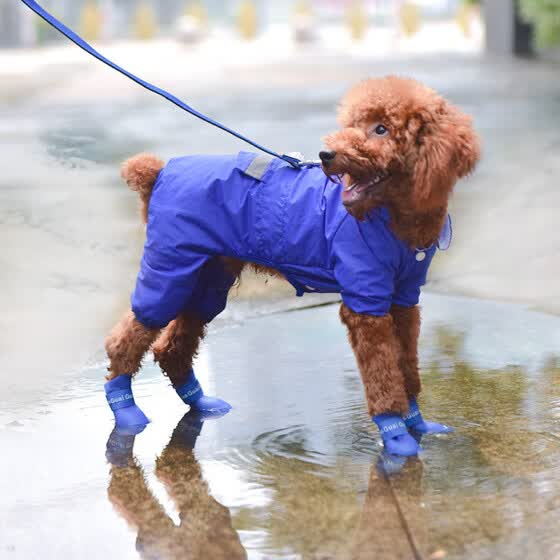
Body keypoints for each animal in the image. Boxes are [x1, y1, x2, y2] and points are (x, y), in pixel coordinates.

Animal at [103, 75, 480, 456]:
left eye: (382, 129)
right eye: (352, 124)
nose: (327, 155)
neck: (392, 220)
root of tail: (159, 173)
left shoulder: (404, 299)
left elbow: (406, 366)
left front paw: (418, 424)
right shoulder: (366, 302)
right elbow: (383, 374)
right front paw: (395, 435)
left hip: (206, 277)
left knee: (172, 345)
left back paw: (200, 403)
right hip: (171, 268)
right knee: (127, 337)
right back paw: (126, 409)